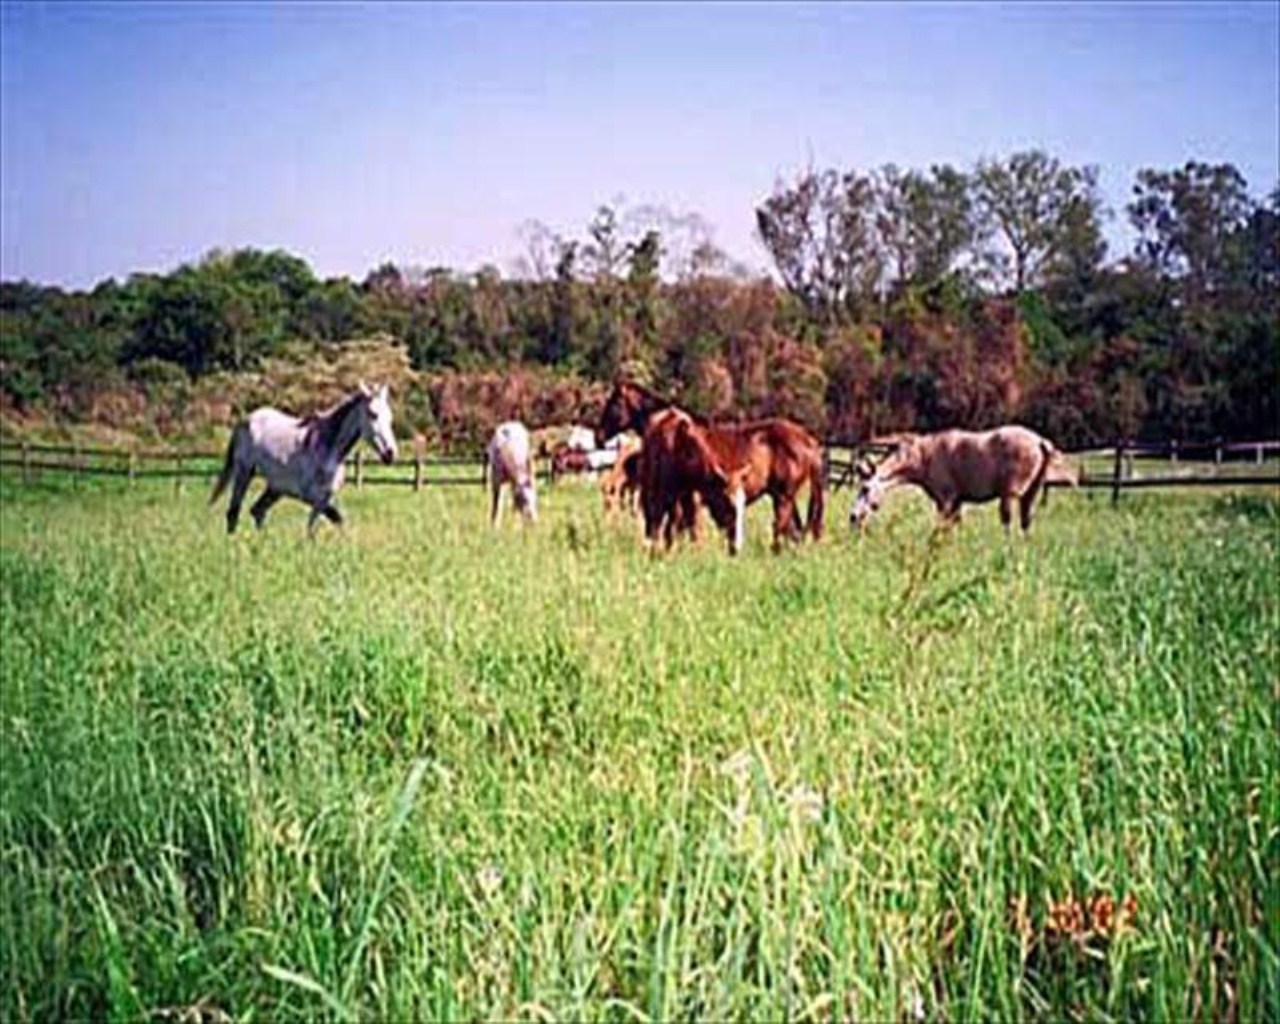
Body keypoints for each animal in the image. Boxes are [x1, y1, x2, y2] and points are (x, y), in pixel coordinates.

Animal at [207, 378, 396, 535]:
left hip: (276, 487)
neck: (329, 447)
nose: (391, 454)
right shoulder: (311, 497)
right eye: (373, 414)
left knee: (257, 511)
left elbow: (335, 522)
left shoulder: (325, 497)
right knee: (234, 512)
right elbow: (322, 525)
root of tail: (246, 419)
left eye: (390, 417)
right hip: (244, 473)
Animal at [849, 424, 1080, 532]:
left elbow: (943, 528)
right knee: (1025, 523)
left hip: (1009, 496)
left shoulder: (945, 501)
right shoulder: (957, 502)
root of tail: (1040, 441)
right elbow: (956, 527)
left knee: (1008, 523)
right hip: (1030, 495)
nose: (853, 517)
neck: (924, 455)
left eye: (865, 488)